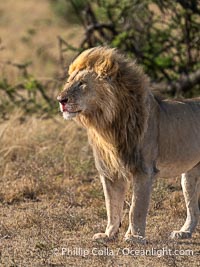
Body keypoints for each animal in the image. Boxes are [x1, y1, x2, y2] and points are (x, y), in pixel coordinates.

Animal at [56, 47, 200, 244]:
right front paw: (108, 234)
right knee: (194, 209)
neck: (107, 125)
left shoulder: (143, 171)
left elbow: (136, 208)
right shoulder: (109, 173)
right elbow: (112, 206)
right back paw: (183, 232)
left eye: (82, 83)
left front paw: (135, 236)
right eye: (69, 82)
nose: (60, 100)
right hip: (190, 174)